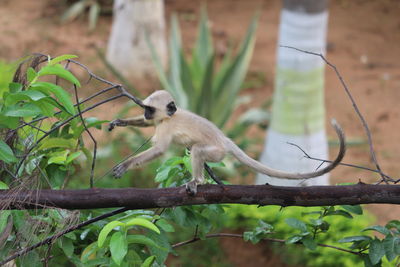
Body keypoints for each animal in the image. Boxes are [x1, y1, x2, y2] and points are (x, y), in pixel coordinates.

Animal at [108, 90, 346, 195]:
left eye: (149, 109)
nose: (146, 114)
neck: (170, 116)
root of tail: (225, 139)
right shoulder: (159, 121)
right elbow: (149, 127)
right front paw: (120, 121)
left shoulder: (167, 125)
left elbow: (159, 150)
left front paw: (125, 165)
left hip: (217, 152)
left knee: (197, 150)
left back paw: (198, 181)